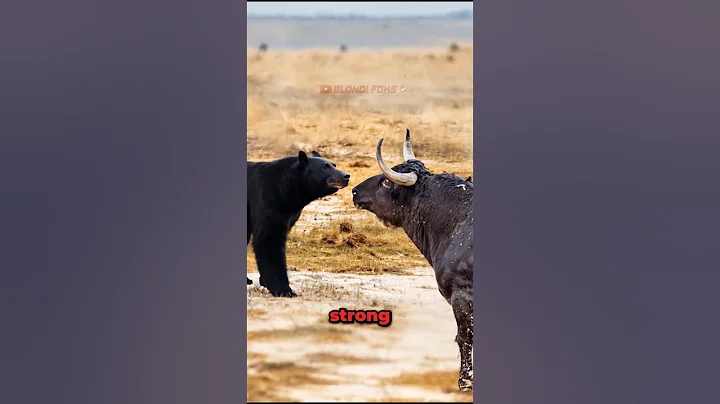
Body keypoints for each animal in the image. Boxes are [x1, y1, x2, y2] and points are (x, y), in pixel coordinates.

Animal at [247, 150, 350, 297]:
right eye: (325, 166)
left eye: (334, 164)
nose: (346, 176)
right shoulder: (267, 199)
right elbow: (269, 238)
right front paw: (284, 289)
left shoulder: (289, 213)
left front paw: (265, 281)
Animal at [351, 129, 474, 391]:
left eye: (386, 182)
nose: (355, 191)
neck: (456, 219)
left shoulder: (461, 296)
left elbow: (464, 337)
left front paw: (464, 381)